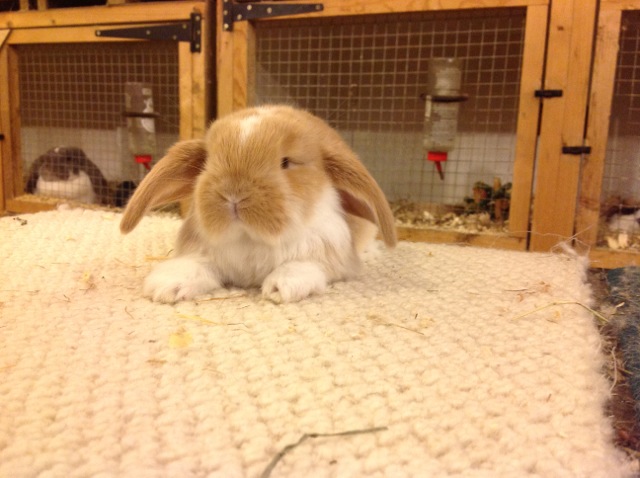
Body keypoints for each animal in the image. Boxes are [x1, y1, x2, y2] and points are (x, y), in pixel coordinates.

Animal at [120, 105, 397, 303]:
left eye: (286, 162)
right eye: (208, 161)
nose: (233, 193)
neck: (251, 238)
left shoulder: (327, 253)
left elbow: (304, 265)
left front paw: (281, 286)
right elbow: (195, 265)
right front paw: (166, 285)